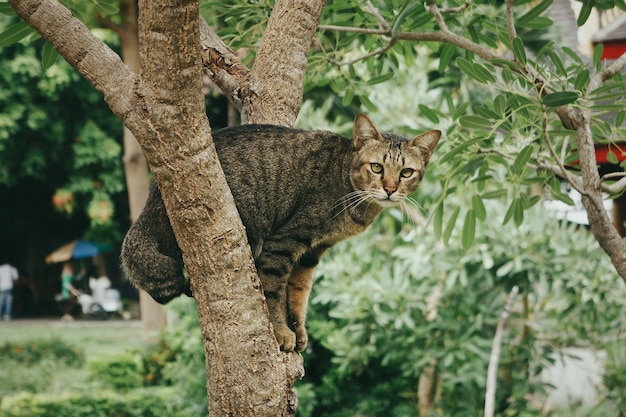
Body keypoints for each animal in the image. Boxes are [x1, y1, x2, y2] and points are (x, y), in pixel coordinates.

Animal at [118, 114, 438, 352]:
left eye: (406, 172)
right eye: (376, 167)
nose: (390, 189)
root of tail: (155, 192)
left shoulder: (312, 252)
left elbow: (298, 295)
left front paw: (298, 329)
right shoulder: (285, 242)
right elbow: (273, 292)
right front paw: (281, 331)